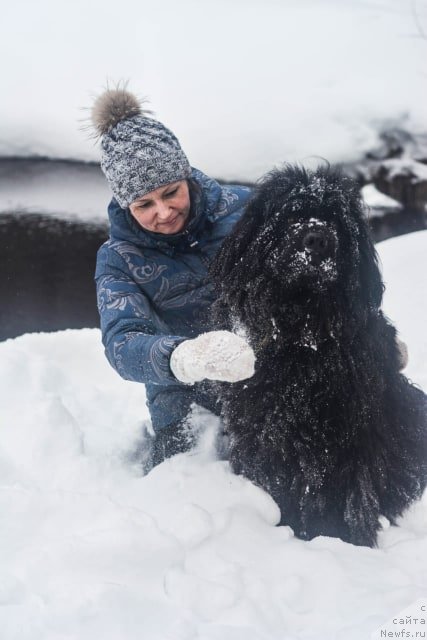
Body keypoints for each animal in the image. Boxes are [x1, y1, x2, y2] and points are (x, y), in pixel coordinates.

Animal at [211, 164, 427, 544]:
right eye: (292, 213)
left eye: (336, 219)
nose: (318, 239)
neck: (303, 337)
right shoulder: (263, 427)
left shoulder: (350, 429)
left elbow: (346, 489)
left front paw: (342, 535)